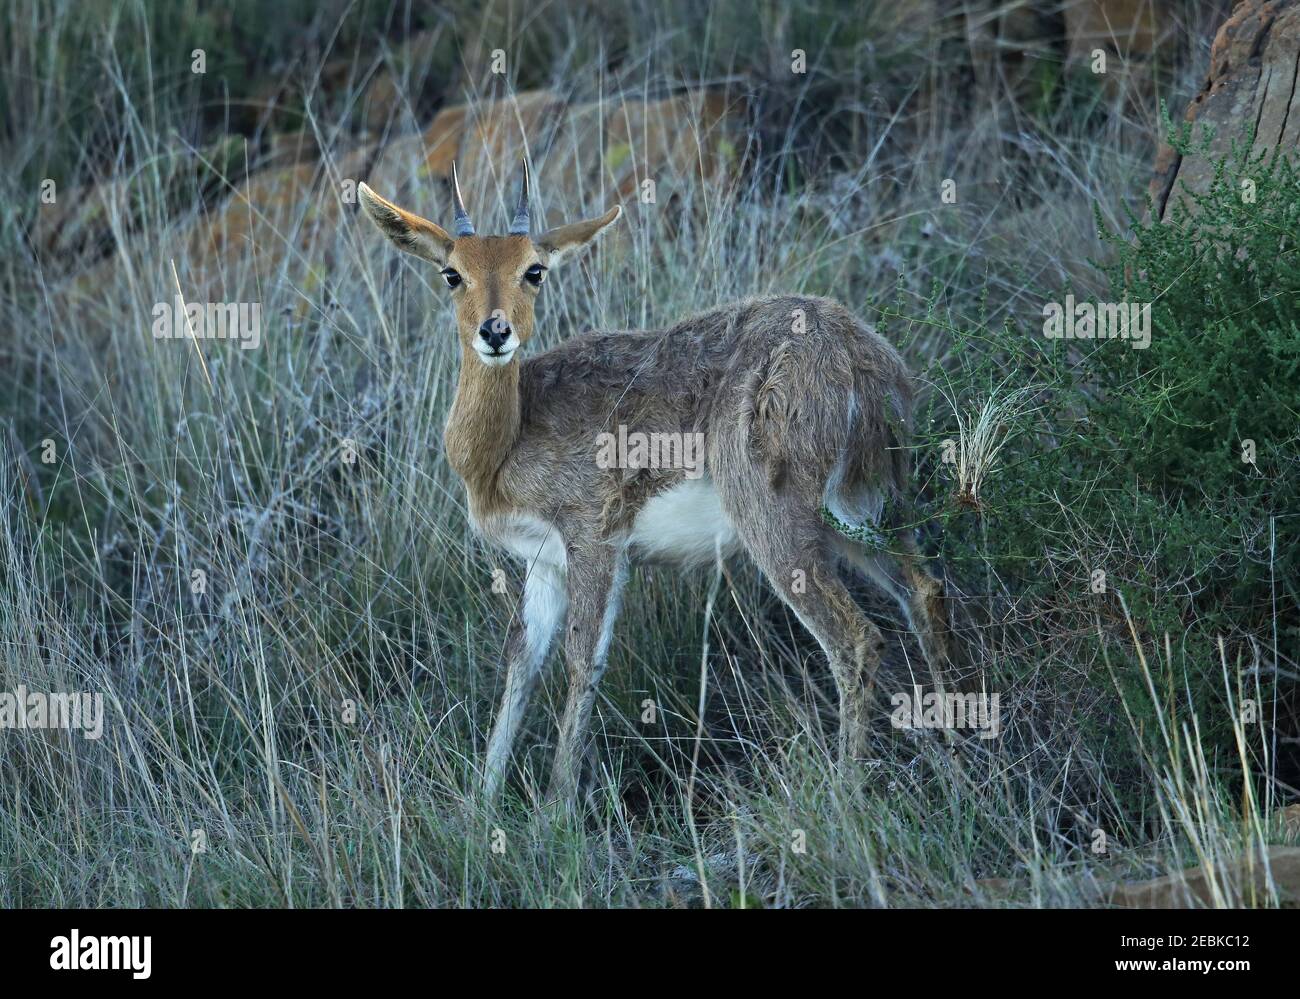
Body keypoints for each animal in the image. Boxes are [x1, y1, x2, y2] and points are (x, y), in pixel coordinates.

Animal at [361, 161, 951, 801]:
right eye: (452, 272)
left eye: (534, 269)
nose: (496, 332)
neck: (501, 448)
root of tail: (860, 357)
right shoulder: (543, 561)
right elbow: (521, 661)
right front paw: (483, 803)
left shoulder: (594, 538)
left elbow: (581, 659)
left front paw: (556, 808)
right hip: (862, 510)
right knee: (924, 590)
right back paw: (956, 749)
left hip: (777, 522)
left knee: (855, 638)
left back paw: (848, 795)